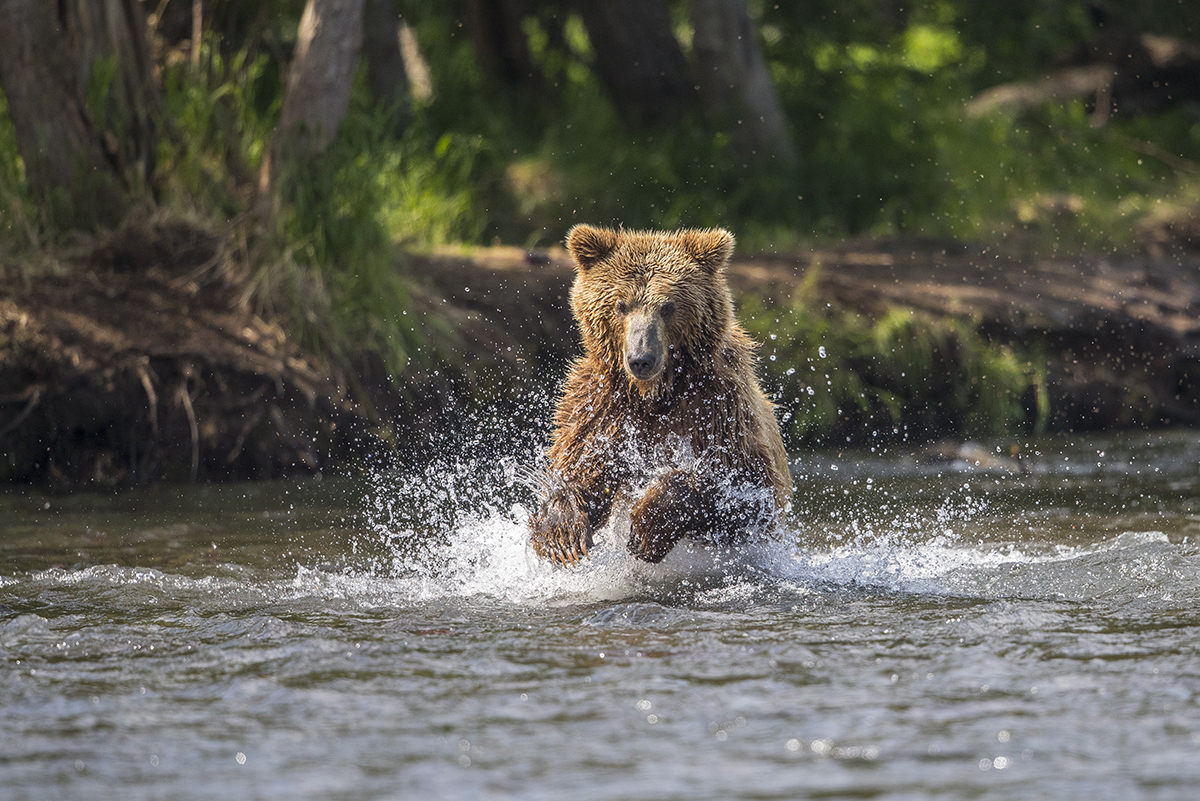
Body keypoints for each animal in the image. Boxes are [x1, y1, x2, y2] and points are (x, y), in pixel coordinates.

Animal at [530, 221, 792, 565]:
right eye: (620, 305)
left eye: (668, 306)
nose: (641, 358)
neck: (653, 394)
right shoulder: (600, 407)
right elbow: (580, 469)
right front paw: (562, 535)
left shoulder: (718, 407)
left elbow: (742, 488)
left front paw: (646, 527)